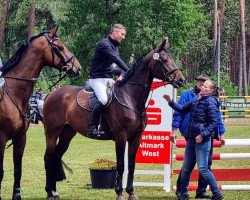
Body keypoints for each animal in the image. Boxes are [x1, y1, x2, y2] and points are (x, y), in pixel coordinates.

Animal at [0, 27, 81, 200]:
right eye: (60, 47)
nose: (77, 67)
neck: (13, 93)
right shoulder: (1, 139)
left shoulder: (20, 138)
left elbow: (18, 169)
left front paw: (17, 194)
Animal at [42, 38, 184, 200]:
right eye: (165, 60)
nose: (181, 80)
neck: (130, 97)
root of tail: (52, 94)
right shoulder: (121, 137)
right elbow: (121, 164)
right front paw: (120, 193)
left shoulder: (136, 138)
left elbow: (131, 165)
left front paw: (131, 192)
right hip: (52, 132)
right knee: (48, 157)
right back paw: (49, 192)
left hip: (67, 133)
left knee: (56, 155)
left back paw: (54, 191)